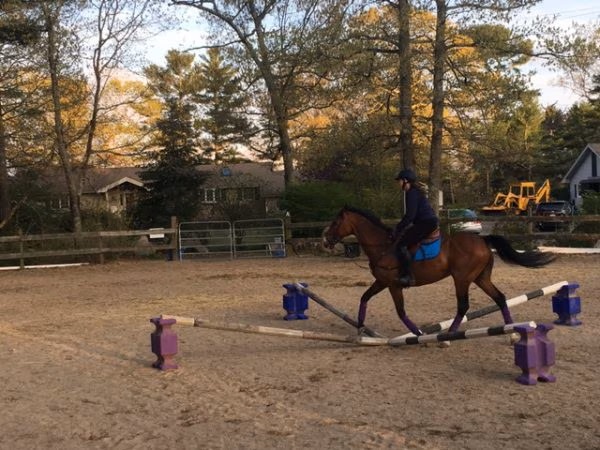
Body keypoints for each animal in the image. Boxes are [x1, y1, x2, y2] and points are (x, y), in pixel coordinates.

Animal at [326, 206, 556, 336]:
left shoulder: (393, 285)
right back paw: (510, 330)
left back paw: (450, 336)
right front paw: (359, 327)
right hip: (480, 278)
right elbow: (364, 298)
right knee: (499, 298)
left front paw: (418, 333)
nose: (325, 240)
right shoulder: (382, 282)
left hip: (462, 278)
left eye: (336, 222)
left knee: (463, 306)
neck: (383, 246)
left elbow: (401, 312)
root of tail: (482, 239)